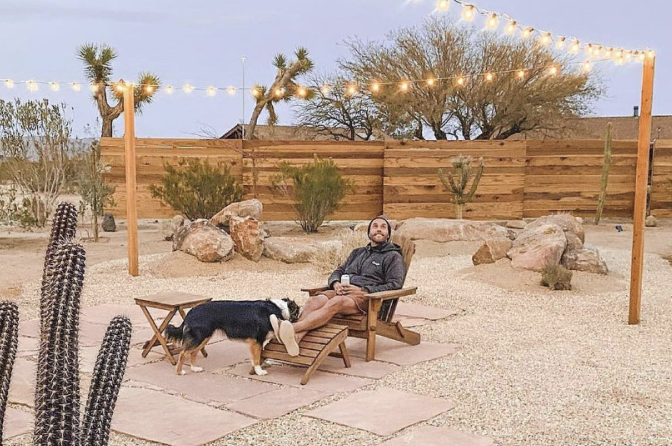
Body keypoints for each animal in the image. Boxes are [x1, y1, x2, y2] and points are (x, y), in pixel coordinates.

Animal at [164, 300, 300, 376]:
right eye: (297, 313)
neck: (277, 308)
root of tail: (191, 311)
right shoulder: (257, 340)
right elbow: (257, 357)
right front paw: (259, 371)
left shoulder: (256, 342)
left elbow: (258, 355)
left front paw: (263, 364)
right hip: (199, 337)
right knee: (183, 354)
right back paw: (179, 372)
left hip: (204, 337)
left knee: (192, 353)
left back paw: (194, 368)